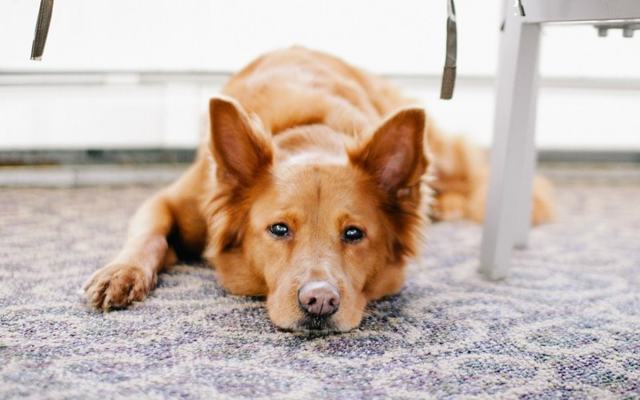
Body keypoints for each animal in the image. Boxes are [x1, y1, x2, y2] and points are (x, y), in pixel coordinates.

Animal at [84, 47, 556, 332]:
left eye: (353, 233)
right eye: (278, 229)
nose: (320, 302)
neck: (309, 133)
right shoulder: (173, 200)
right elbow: (148, 235)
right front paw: (120, 273)